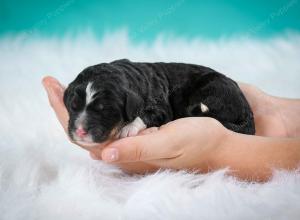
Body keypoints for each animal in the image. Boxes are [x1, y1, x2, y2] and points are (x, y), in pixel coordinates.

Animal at [63, 59, 255, 145]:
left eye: (104, 110)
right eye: (73, 106)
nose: (79, 131)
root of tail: (247, 110)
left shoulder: (162, 108)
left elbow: (144, 115)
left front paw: (128, 128)